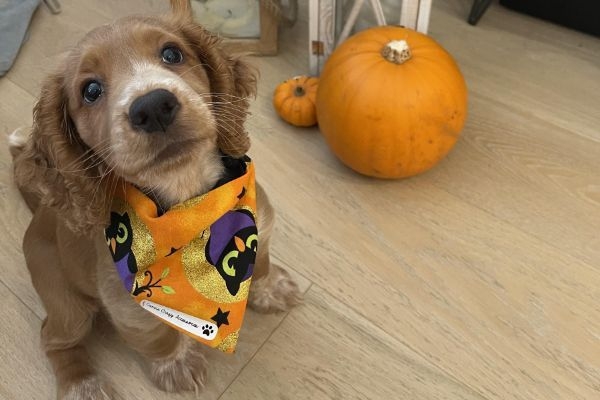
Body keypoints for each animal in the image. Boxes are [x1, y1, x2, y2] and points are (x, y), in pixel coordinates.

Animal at [9, 1, 300, 398]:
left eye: (172, 53)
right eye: (91, 90)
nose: (153, 106)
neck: (188, 197)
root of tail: (40, 211)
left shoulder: (262, 229)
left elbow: (264, 263)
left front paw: (271, 288)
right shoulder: (128, 305)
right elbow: (155, 338)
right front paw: (176, 363)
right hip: (69, 306)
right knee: (53, 339)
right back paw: (82, 383)